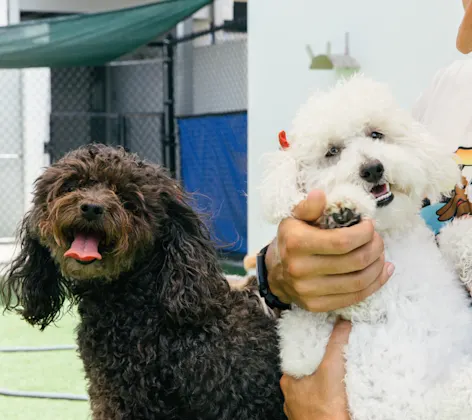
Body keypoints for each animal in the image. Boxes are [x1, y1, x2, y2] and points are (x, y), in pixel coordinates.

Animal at [262, 75, 472, 420]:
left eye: (376, 134)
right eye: (332, 152)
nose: (372, 168)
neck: (391, 237)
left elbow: (454, 237)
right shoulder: (365, 301)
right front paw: (341, 211)